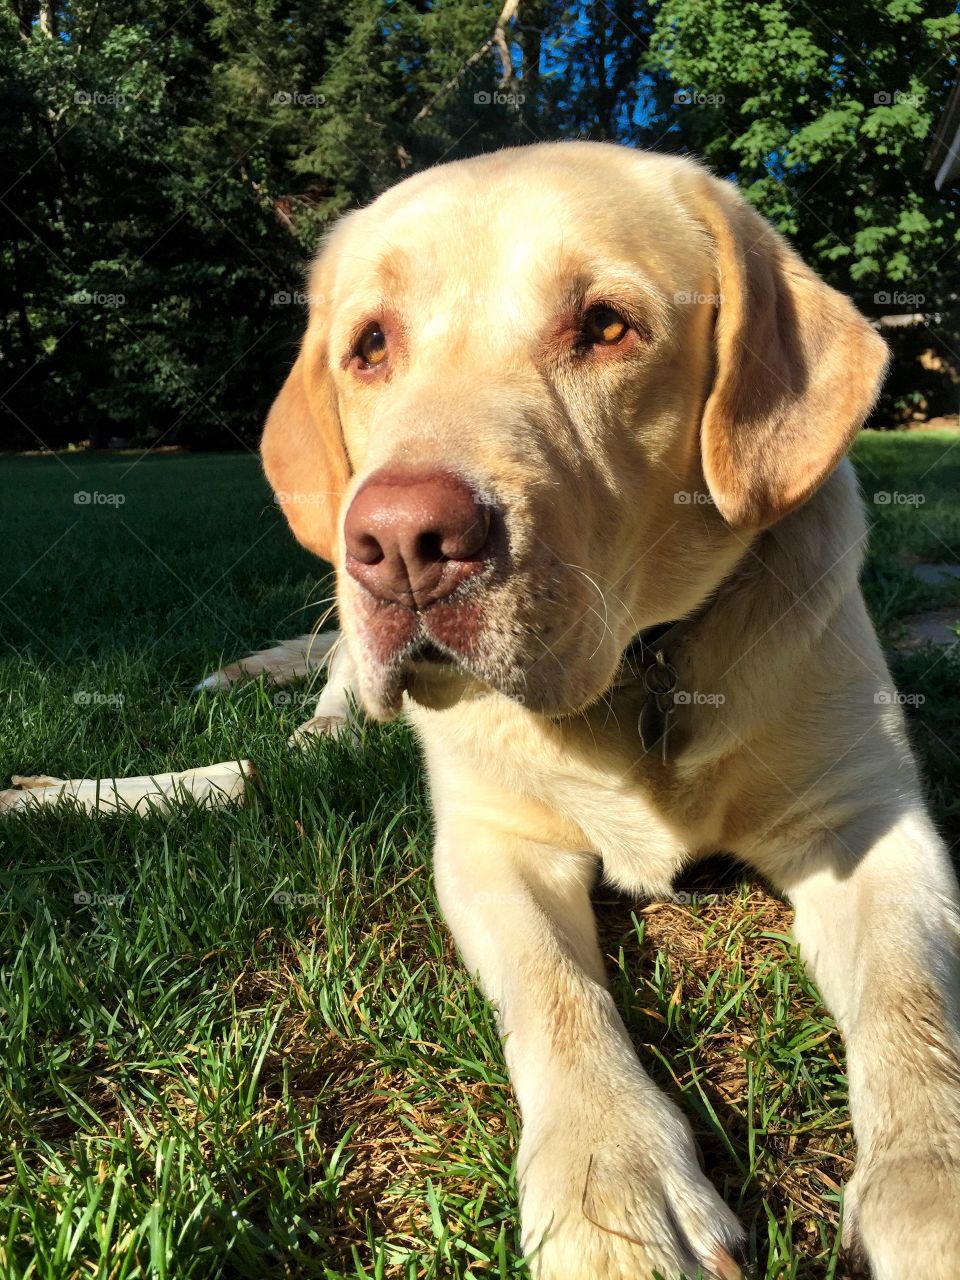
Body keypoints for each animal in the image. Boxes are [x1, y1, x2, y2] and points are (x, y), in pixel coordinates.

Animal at [235, 145, 960, 1274]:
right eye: (371, 345)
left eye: (607, 326)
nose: (399, 541)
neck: (640, 667)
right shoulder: (491, 843)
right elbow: (556, 994)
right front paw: (611, 1183)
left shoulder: (866, 820)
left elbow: (909, 993)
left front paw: (933, 1186)